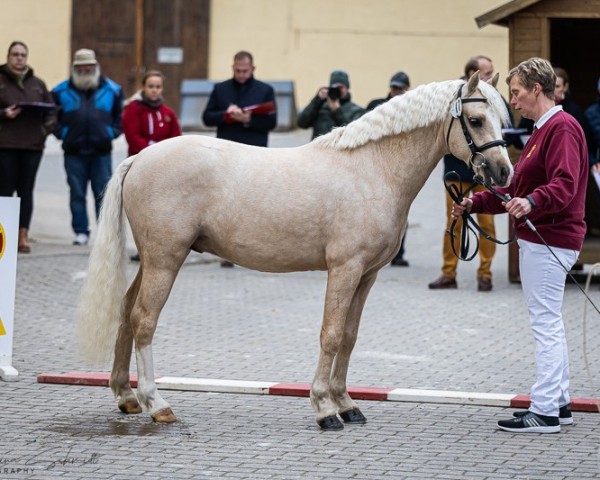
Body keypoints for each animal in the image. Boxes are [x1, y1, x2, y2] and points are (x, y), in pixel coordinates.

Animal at [77, 72, 512, 432]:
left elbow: (350, 336)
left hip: (153, 260)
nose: (503, 172)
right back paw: (157, 404)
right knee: (144, 320)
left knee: (126, 312)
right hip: (166, 259)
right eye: (476, 120)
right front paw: (325, 408)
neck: (371, 169)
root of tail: (139, 157)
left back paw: (126, 396)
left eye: (502, 118)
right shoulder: (345, 268)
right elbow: (331, 335)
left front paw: (347, 404)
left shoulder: (367, 275)